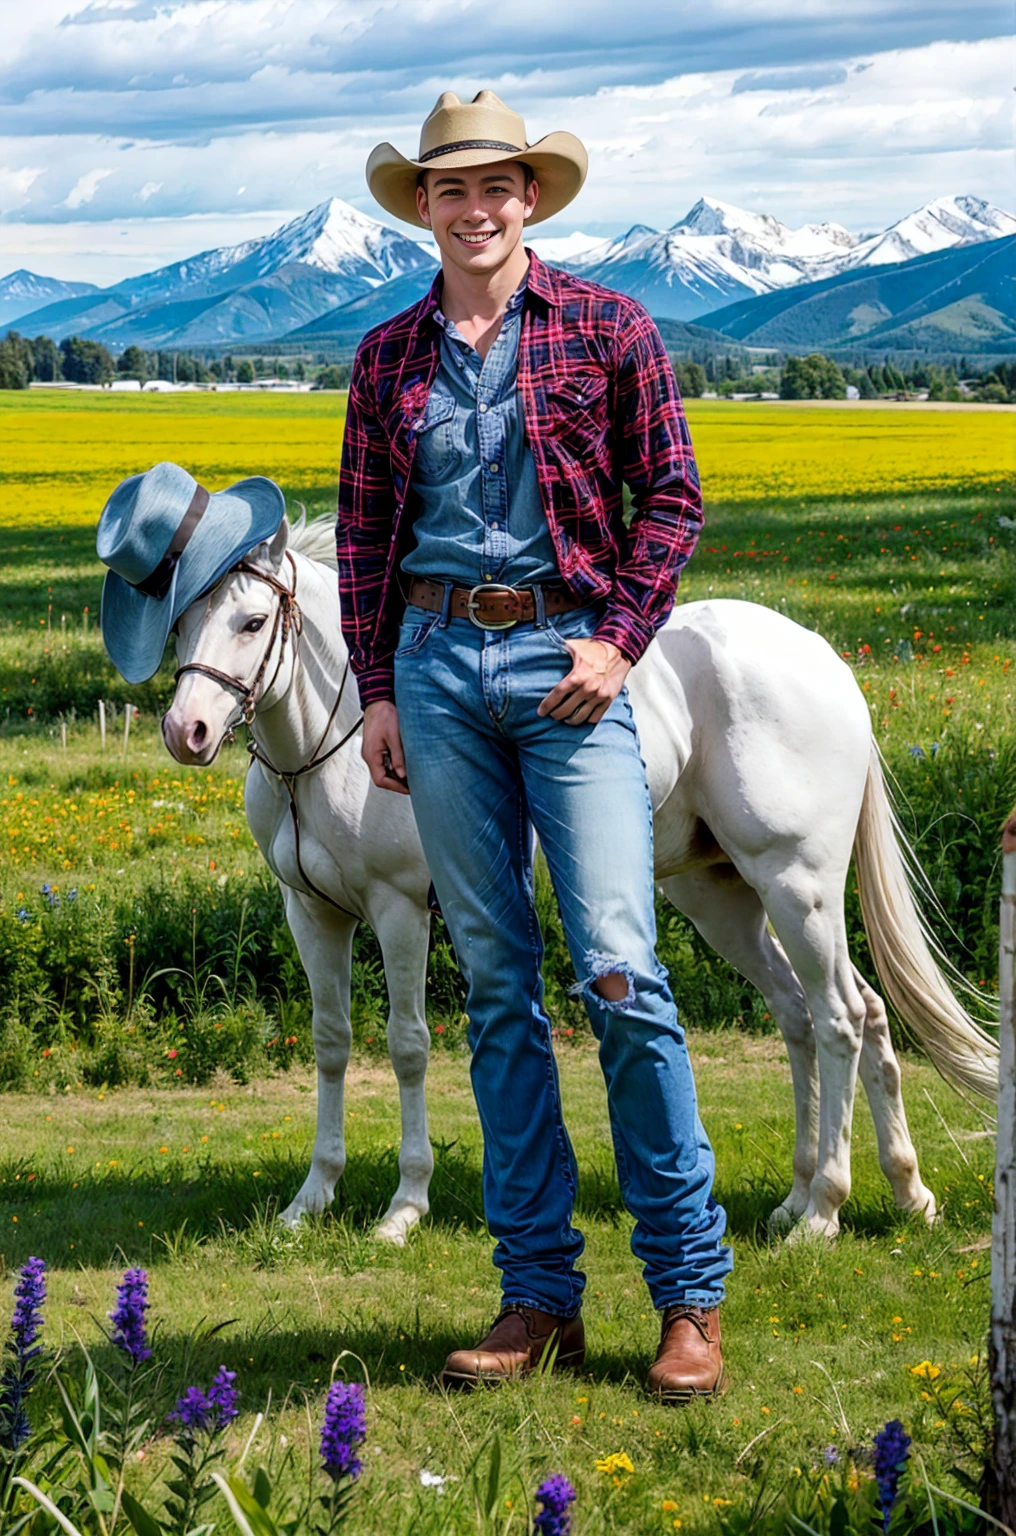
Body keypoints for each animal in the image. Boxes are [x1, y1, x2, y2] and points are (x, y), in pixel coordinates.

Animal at [162, 516, 996, 1247]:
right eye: (182, 621)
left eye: (253, 621)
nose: (185, 731)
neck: (336, 737)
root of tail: (825, 661)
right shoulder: (312, 913)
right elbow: (331, 1042)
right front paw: (313, 1198)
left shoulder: (400, 911)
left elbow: (406, 1045)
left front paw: (404, 1206)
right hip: (724, 899)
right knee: (823, 1014)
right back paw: (883, 1194)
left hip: (798, 886)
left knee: (839, 1019)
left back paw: (824, 1210)